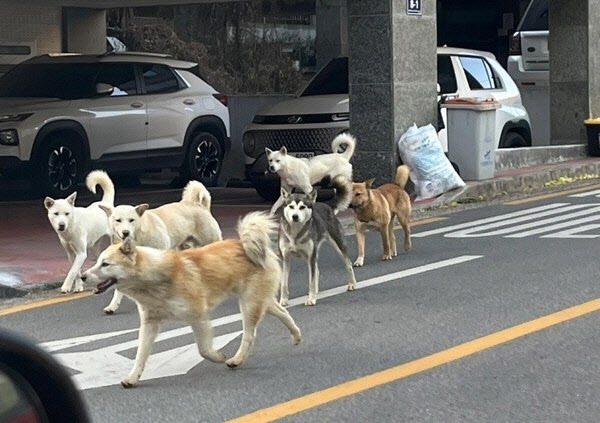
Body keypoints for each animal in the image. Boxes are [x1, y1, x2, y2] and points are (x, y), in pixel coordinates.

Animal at [101, 179, 223, 314]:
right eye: (118, 220)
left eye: (131, 220)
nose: (126, 232)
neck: (138, 236)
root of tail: (198, 205)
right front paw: (113, 306)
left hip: (211, 240)